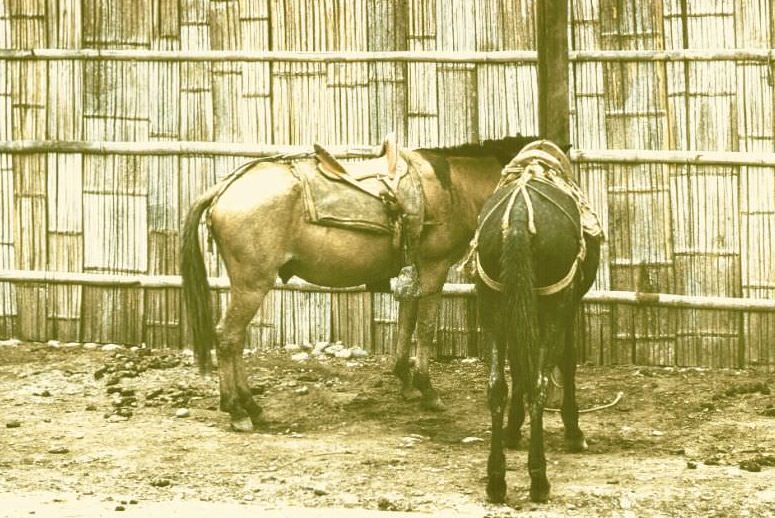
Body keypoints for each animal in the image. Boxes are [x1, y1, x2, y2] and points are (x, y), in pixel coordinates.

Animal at [181, 135, 540, 434]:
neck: (454, 184)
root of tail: (225, 188)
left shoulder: (413, 269)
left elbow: (406, 322)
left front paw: (405, 381)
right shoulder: (434, 269)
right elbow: (425, 328)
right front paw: (427, 388)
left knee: (235, 339)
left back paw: (250, 406)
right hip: (253, 283)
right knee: (228, 336)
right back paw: (237, 409)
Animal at [472, 141, 608, 504]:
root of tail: (520, 215)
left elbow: (518, 364)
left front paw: (512, 429)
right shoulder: (567, 303)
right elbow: (566, 361)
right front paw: (574, 431)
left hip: (491, 303)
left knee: (497, 385)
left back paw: (496, 479)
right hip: (553, 305)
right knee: (540, 382)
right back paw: (539, 478)